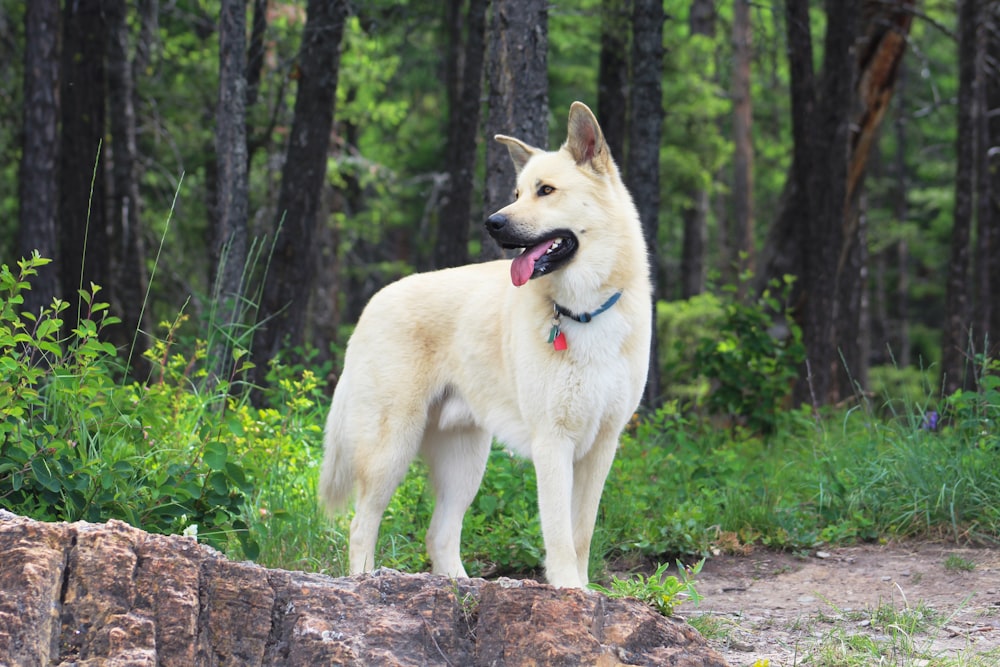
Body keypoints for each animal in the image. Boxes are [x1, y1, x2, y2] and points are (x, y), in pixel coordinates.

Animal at [316, 100, 652, 588]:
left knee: (438, 534)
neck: (584, 311)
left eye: (545, 190)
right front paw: (568, 589)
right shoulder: (553, 444)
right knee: (363, 525)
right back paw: (365, 583)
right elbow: (559, 535)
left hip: (465, 463)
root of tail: (373, 303)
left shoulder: (601, 447)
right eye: (516, 192)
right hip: (391, 451)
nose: (493, 222)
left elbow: (582, 533)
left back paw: (460, 587)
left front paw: (584, 591)